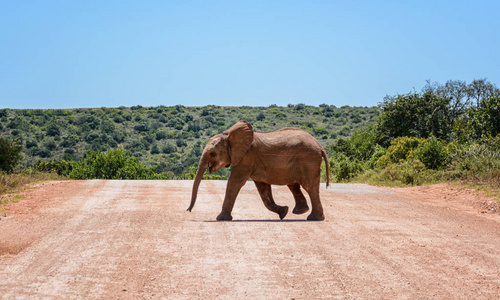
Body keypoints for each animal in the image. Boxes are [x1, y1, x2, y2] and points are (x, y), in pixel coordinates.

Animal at [186, 120, 330, 221]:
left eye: (213, 154)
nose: (188, 210)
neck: (229, 135)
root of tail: (320, 146)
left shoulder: (247, 157)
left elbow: (234, 182)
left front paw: (220, 219)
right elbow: (263, 189)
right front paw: (283, 212)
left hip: (308, 160)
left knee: (309, 186)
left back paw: (313, 218)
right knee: (294, 185)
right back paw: (300, 212)